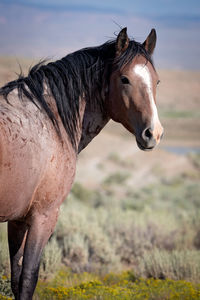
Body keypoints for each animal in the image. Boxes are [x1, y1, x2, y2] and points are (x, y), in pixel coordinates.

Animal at [0, 27, 162, 298]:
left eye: (157, 81)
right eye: (125, 79)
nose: (154, 133)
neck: (50, 120)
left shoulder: (18, 219)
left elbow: (16, 278)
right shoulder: (44, 216)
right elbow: (28, 278)